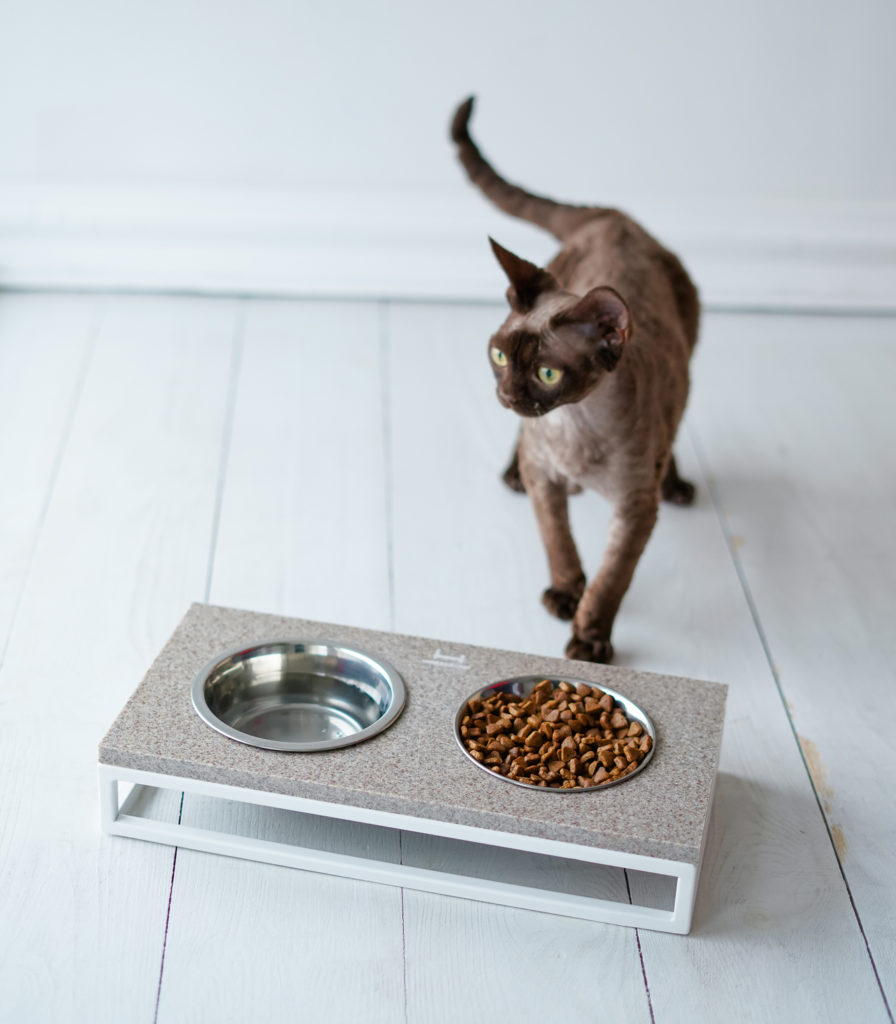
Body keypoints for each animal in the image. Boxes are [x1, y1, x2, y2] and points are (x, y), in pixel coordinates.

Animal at [448, 96, 700, 663]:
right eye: (499, 355)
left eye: (547, 373)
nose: (506, 394)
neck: (574, 425)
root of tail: (617, 218)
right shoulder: (547, 480)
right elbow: (557, 541)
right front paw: (565, 595)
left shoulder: (634, 508)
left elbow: (611, 580)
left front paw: (589, 640)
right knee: (522, 448)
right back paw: (512, 474)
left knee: (674, 431)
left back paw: (675, 483)